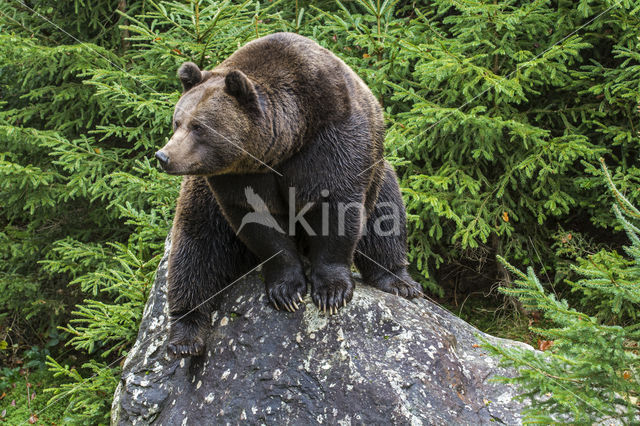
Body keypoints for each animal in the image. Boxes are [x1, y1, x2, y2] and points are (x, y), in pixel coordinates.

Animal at [157, 33, 422, 358]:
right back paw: (185, 336)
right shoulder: (237, 177)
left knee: (386, 218)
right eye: (177, 121)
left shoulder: (331, 141)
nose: (164, 156)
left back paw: (399, 281)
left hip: (379, 172)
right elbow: (259, 224)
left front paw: (331, 292)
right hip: (201, 197)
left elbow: (336, 207)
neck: (284, 142)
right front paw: (287, 291)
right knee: (194, 251)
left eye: (198, 126)